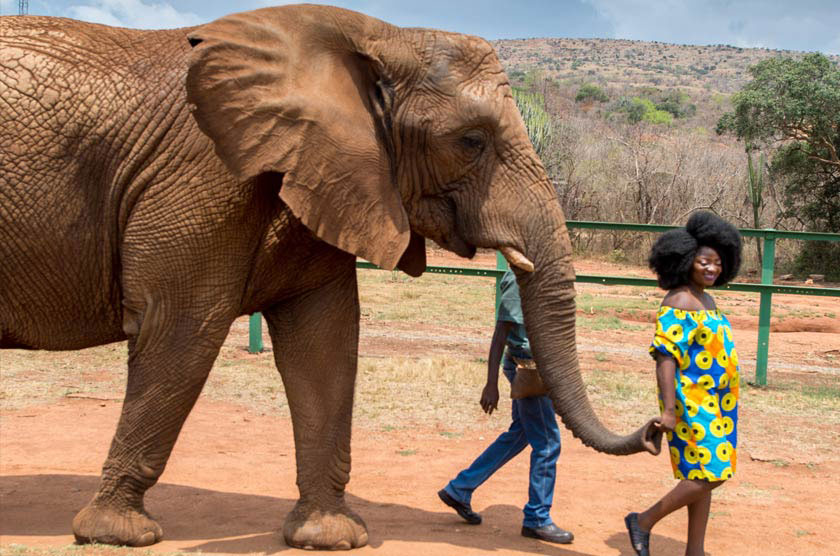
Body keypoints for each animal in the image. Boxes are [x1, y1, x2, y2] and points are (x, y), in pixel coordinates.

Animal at [0, 4, 661, 550]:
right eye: (471, 141)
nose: (657, 430)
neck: (379, 37)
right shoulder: (206, 178)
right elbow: (181, 333)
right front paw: (118, 534)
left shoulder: (329, 175)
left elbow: (326, 343)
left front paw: (330, 537)